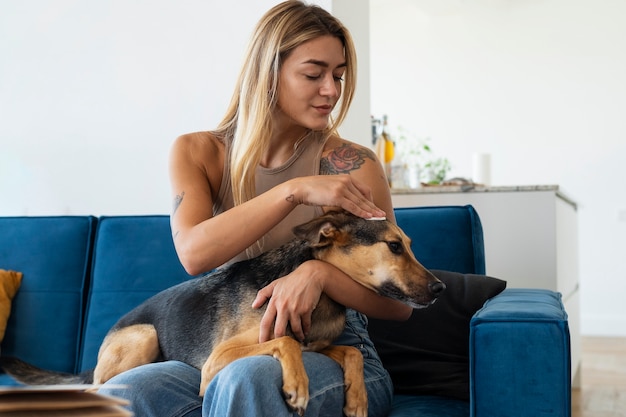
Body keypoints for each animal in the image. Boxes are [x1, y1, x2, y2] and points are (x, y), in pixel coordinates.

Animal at [0, 211, 442, 416]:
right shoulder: (218, 358)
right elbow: (283, 340)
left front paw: (357, 400)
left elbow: (348, 351)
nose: (440, 289)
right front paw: (297, 387)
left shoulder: (317, 345)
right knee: (99, 387)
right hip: (144, 336)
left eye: (409, 244)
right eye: (394, 246)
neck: (322, 298)